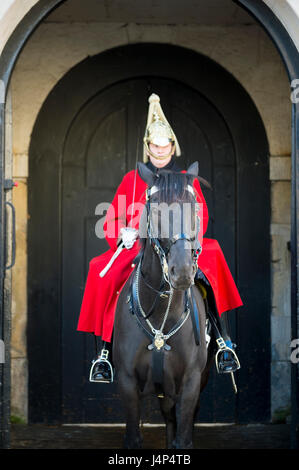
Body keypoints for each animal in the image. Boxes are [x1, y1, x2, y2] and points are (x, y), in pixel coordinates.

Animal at [113, 162, 214, 448]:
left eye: (195, 209)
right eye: (155, 210)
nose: (182, 271)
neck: (161, 315)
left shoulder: (191, 382)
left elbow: (183, 439)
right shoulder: (126, 382)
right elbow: (133, 438)